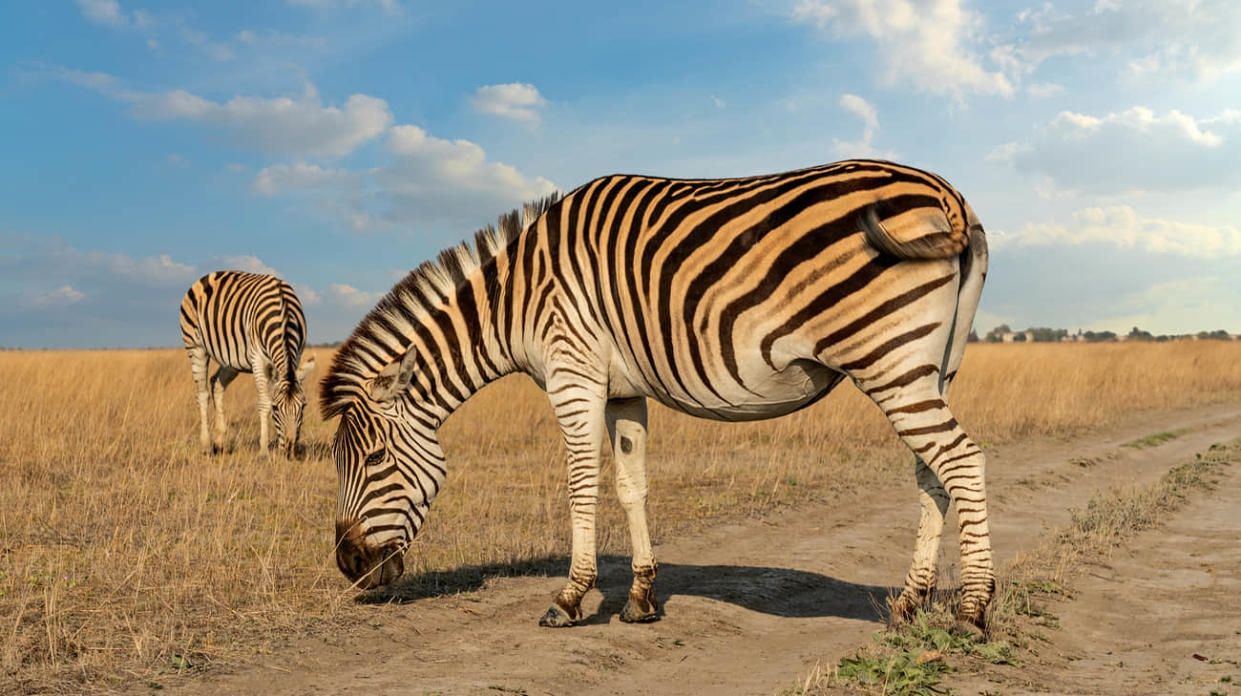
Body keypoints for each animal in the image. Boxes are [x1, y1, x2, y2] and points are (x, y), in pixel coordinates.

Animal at [179, 270, 315, 456]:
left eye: (303, 406)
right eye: (275, 408)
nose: (289, 449)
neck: (284, 315)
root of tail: (210, 275)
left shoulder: (297, 356)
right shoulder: (257, 358)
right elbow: (263, 402)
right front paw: (264, 451)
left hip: (231, 360)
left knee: (216, 384)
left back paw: (220, 442)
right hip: (196, 347)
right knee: (202, 394)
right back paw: (206, 446)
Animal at [322, 160, 997, 632]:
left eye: (374, 460)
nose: (349, 566)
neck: (517, 299)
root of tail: (946, 191)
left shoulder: (574, 376)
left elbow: (581, 486)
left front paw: (569, 598)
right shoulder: (623, 392)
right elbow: (631, 486)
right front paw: (642, 598)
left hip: (889, 358)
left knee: (961, 461)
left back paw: (973, 611)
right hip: (930, 367)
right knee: (933, 473)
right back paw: (909, 604)